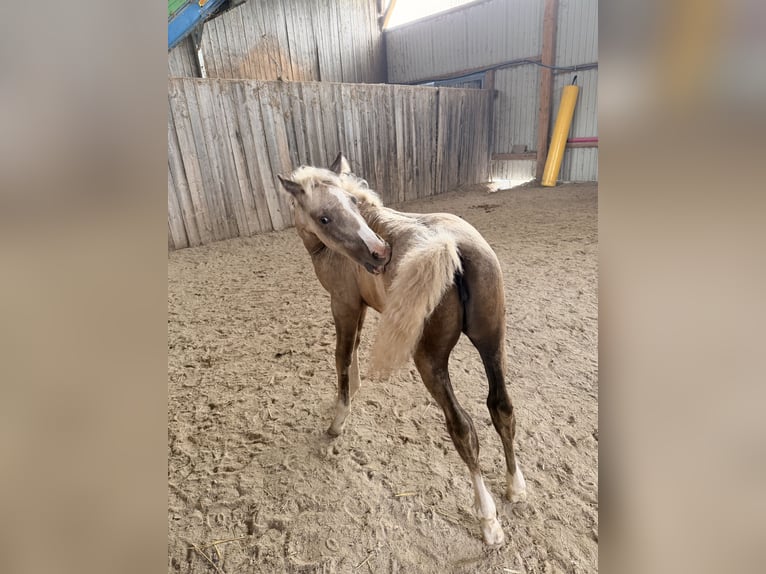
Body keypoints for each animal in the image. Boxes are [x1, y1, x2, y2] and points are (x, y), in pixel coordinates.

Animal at [277, 153, 526, 546]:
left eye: (350, 206)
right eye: (325, 216)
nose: (379, 252)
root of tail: (452, 247)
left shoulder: (343, 305)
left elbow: (342, 358)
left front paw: (337, 421)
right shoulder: (360, 307)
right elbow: (354, 350)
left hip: (430, 361)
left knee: (463, 428)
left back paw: (488, 519)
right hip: (492, 341)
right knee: (501, 407)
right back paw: (515, 487)